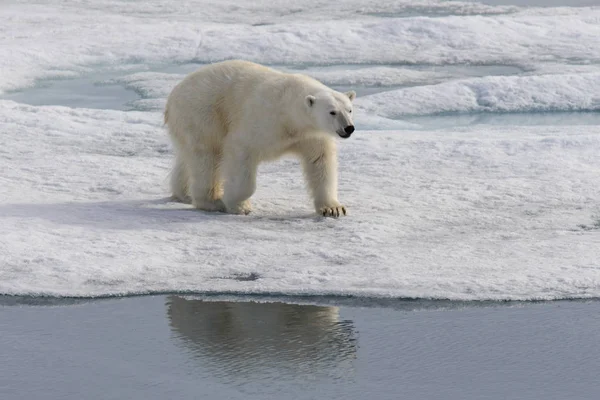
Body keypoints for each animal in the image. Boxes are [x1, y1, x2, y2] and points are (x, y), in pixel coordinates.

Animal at [164, 59, 354, 217]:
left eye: (349, 109)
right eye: (332, 112)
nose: (349, 128)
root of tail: (172, 96)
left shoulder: (311, 135)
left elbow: (320, 162)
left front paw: (333, 208)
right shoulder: (263, 120)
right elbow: (240, 151)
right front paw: (239, 205)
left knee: (187, 157)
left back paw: (184, 194)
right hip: (203, 113)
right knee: (207, 157)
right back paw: (213, 201)